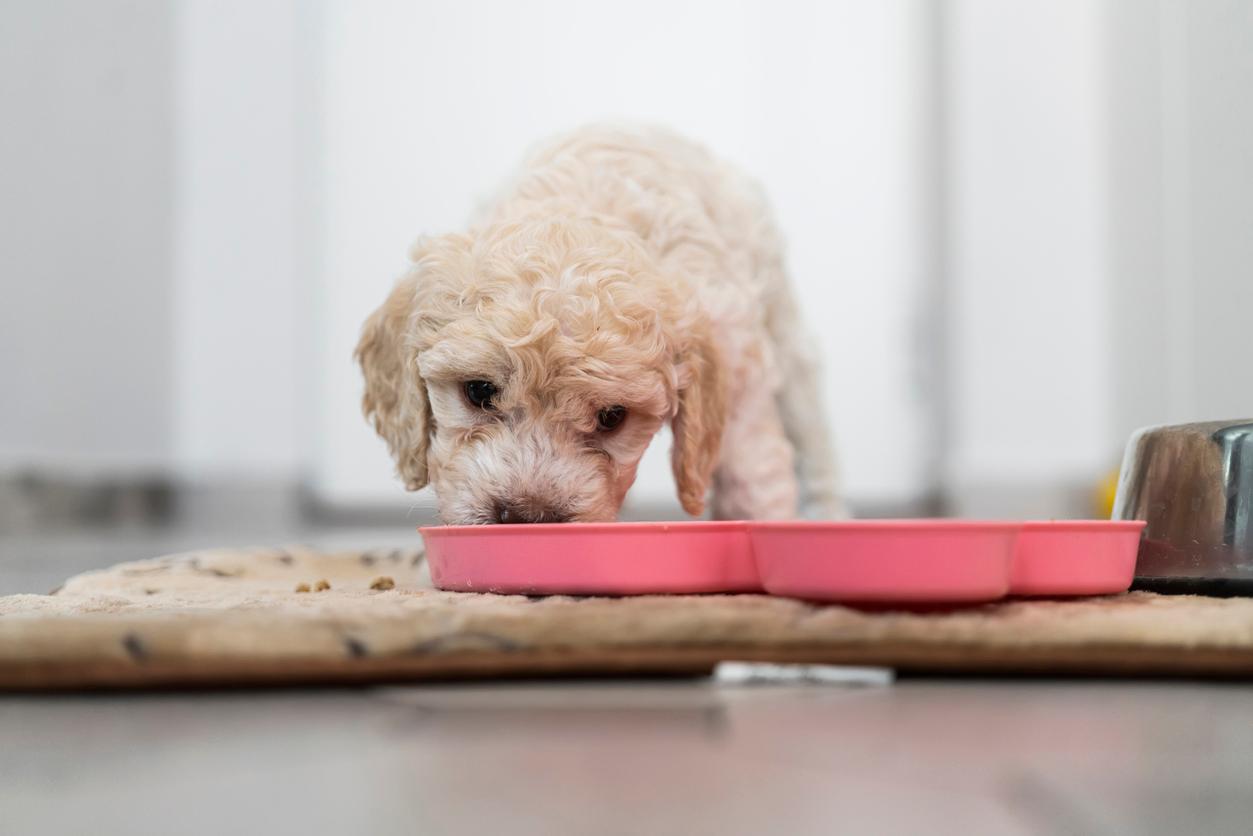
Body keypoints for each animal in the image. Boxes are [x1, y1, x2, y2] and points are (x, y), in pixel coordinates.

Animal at [358, 124, 842, 523]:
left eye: (613, 417)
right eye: (478, 391)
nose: (528, 517)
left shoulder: (740, 383)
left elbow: (753, 478)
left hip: (788, 342)